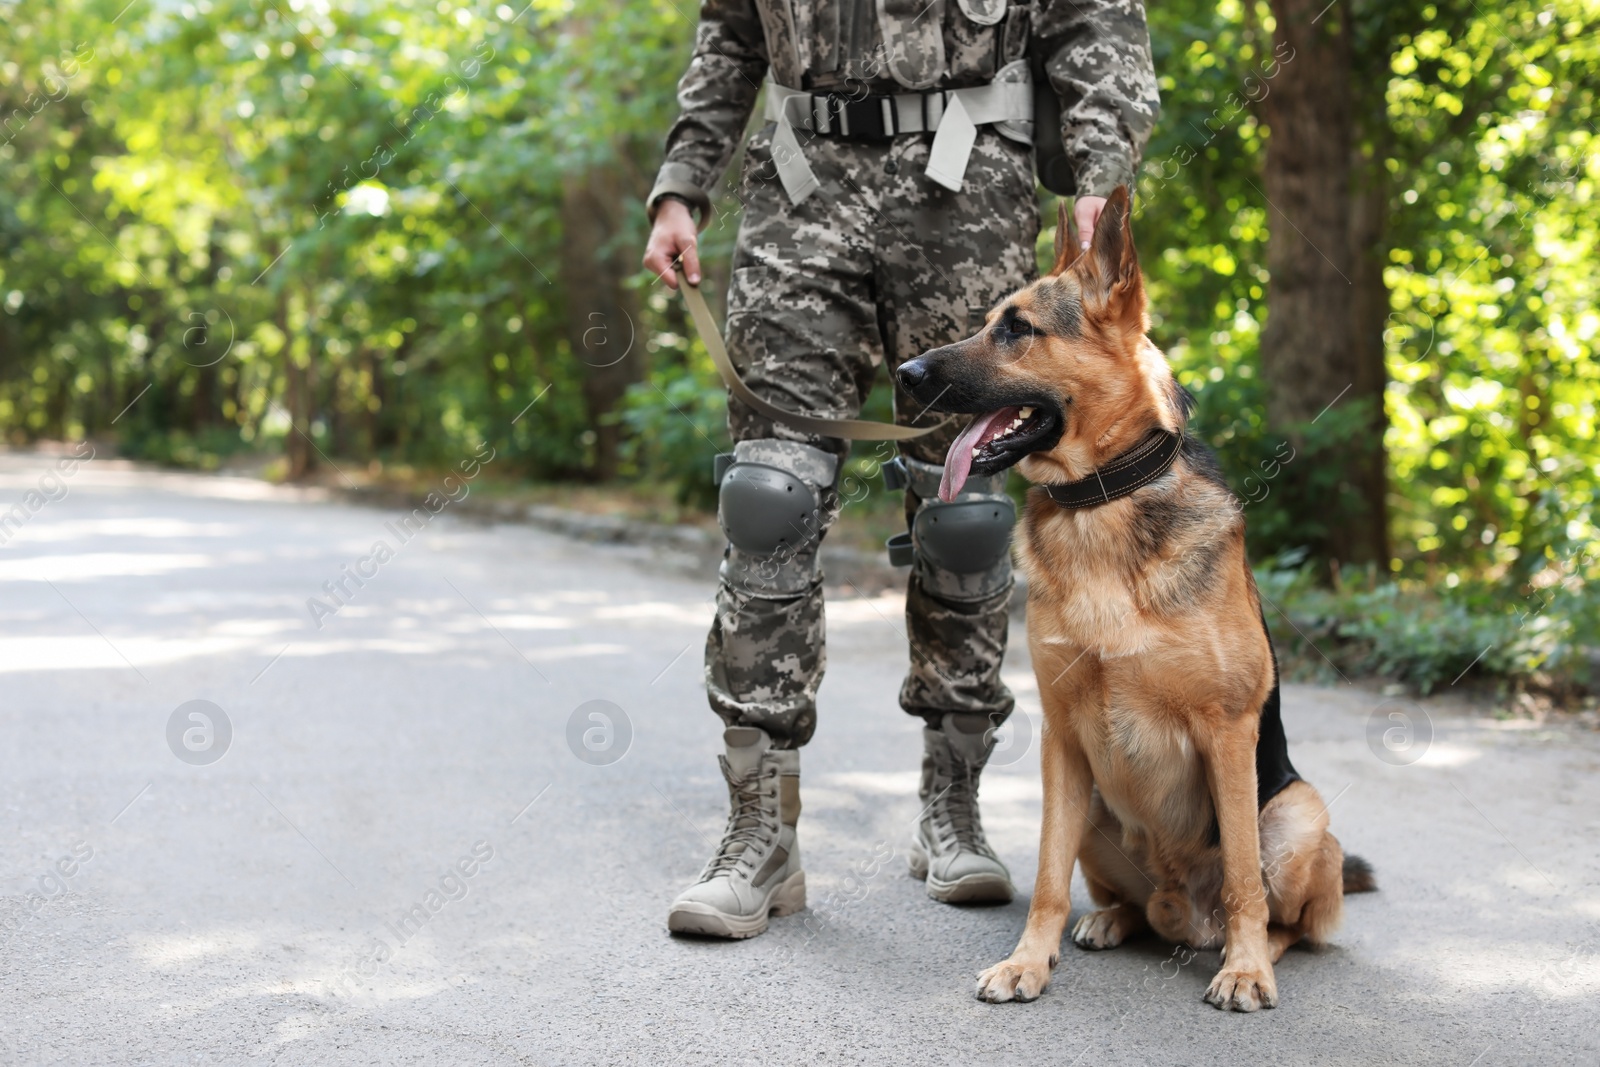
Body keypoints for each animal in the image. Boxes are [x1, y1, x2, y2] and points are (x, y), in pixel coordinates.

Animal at [896, 187, 1369, 1017]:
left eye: (1016, 328)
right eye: (990, 320)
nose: (906, 372)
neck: (1101, 501)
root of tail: (1183, 910)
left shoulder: (1229, 732)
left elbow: (1243, 877)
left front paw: (1247, 969)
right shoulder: (1061, 740)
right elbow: (1047, 878)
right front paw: (1029, 960)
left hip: (1298, 812)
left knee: (1285, 915)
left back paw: (1251, 951)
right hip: (1095, 811)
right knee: (1135, 906)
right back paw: (1112, 920)